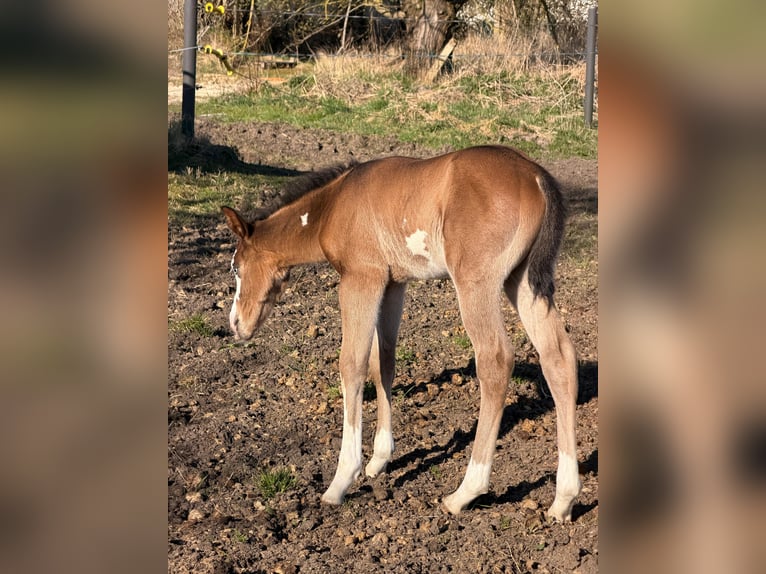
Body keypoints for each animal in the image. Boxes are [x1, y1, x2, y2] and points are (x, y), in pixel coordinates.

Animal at [222, 145, 581, 521]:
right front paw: (379, 459)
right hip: (522, 281)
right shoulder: (394, 283)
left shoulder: (361, 278)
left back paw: (465, 492)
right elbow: (384, 363)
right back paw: (564, 499)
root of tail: (535, 175)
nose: (235, 324)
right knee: (559, 357)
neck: (333, 205)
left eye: (236, 268)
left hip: (475, 282)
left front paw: (342, 479)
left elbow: (352, 365)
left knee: (495, 360)